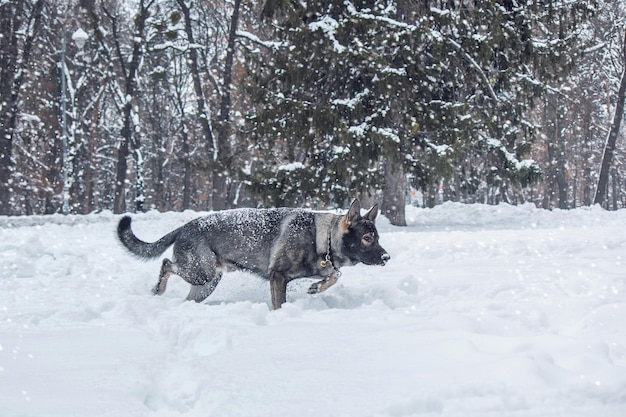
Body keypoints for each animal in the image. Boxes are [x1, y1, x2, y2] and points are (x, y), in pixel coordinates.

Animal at [116, 198, 388, 308]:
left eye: (377, 237)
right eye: (367, 238)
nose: (387, 258)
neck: (323, 238)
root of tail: (184, 227)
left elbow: (335, 276)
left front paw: (317, 287)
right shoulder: (278, 277)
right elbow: (279, 304)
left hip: (206, 283)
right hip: (202, 274)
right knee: (165, 263)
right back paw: (158, 289)